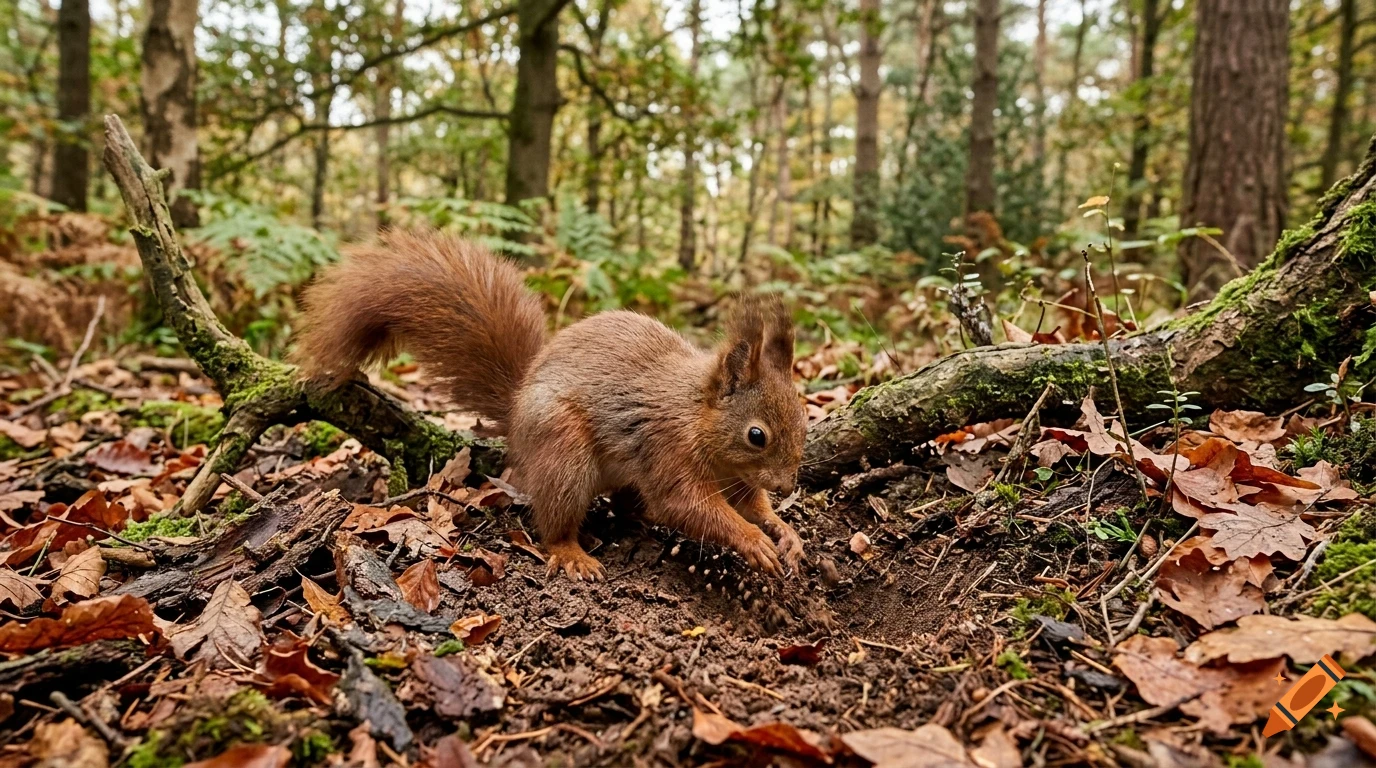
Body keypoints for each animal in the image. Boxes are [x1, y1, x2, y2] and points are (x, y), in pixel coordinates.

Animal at [294, 230, 807, 581]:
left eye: (804, 419)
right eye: (756, 435)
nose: (787, 484)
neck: (697, 415)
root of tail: (517, 411)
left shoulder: (736, 477)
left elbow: (748, 503)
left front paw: (783, 531)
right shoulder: (668, 449)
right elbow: (689, 505)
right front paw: (753, 540)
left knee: (626, 506)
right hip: (564, 452)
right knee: (557, 519)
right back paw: (572, 553)